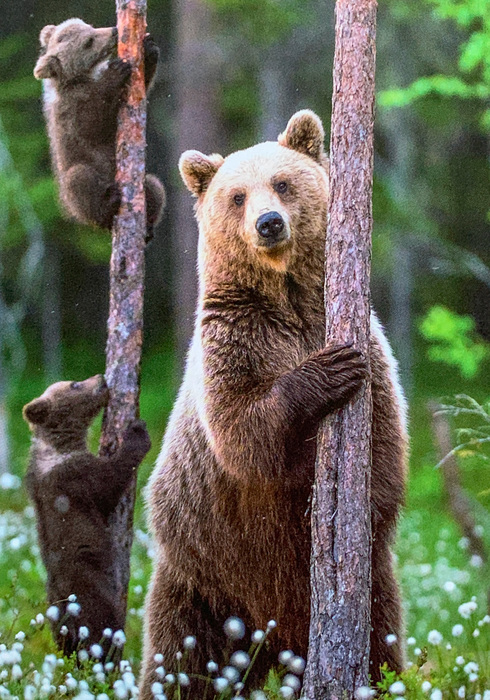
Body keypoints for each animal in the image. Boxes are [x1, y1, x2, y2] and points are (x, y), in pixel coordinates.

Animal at [34, 17, 166, 237]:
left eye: (89, 27)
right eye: (88, 42)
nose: (113, 31)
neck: (84, 77)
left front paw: (149, 48)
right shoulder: (71, 109)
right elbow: (92, 124)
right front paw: (116, 71)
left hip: (144, 184)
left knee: (154, 186)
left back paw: (148, 227)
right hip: (76, 187)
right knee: (79, 179)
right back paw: (109, 203)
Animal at [140, 109, 408, 696]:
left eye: (282, 183)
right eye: (237, 195)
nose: (269, 223)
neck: (288, 297)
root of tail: (273, 641)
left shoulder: (366, 343)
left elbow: (384, 443)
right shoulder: (235, 339)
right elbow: (243, 432)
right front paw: (328, 372)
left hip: (368, 591)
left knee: (381, 637)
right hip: (202, 576)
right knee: (181, 657)